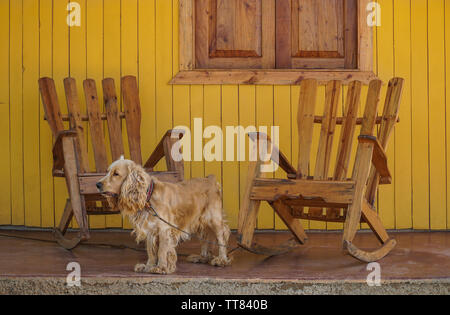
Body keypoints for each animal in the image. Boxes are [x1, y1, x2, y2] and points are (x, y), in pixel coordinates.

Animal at [96, 157, 232, 276]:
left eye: (116, 174)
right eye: (108, 172)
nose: (97, 184)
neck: (148, 196)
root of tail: (211, 179)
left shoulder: (164, 229)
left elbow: (162, 250)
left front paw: (161, 267)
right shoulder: (150, 230)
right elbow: (151, 251)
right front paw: (148, 266)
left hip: (213, 218)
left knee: (221, 237)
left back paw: (221, 259)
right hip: (199, 220)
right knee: (205, 238)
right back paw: (202, 257)